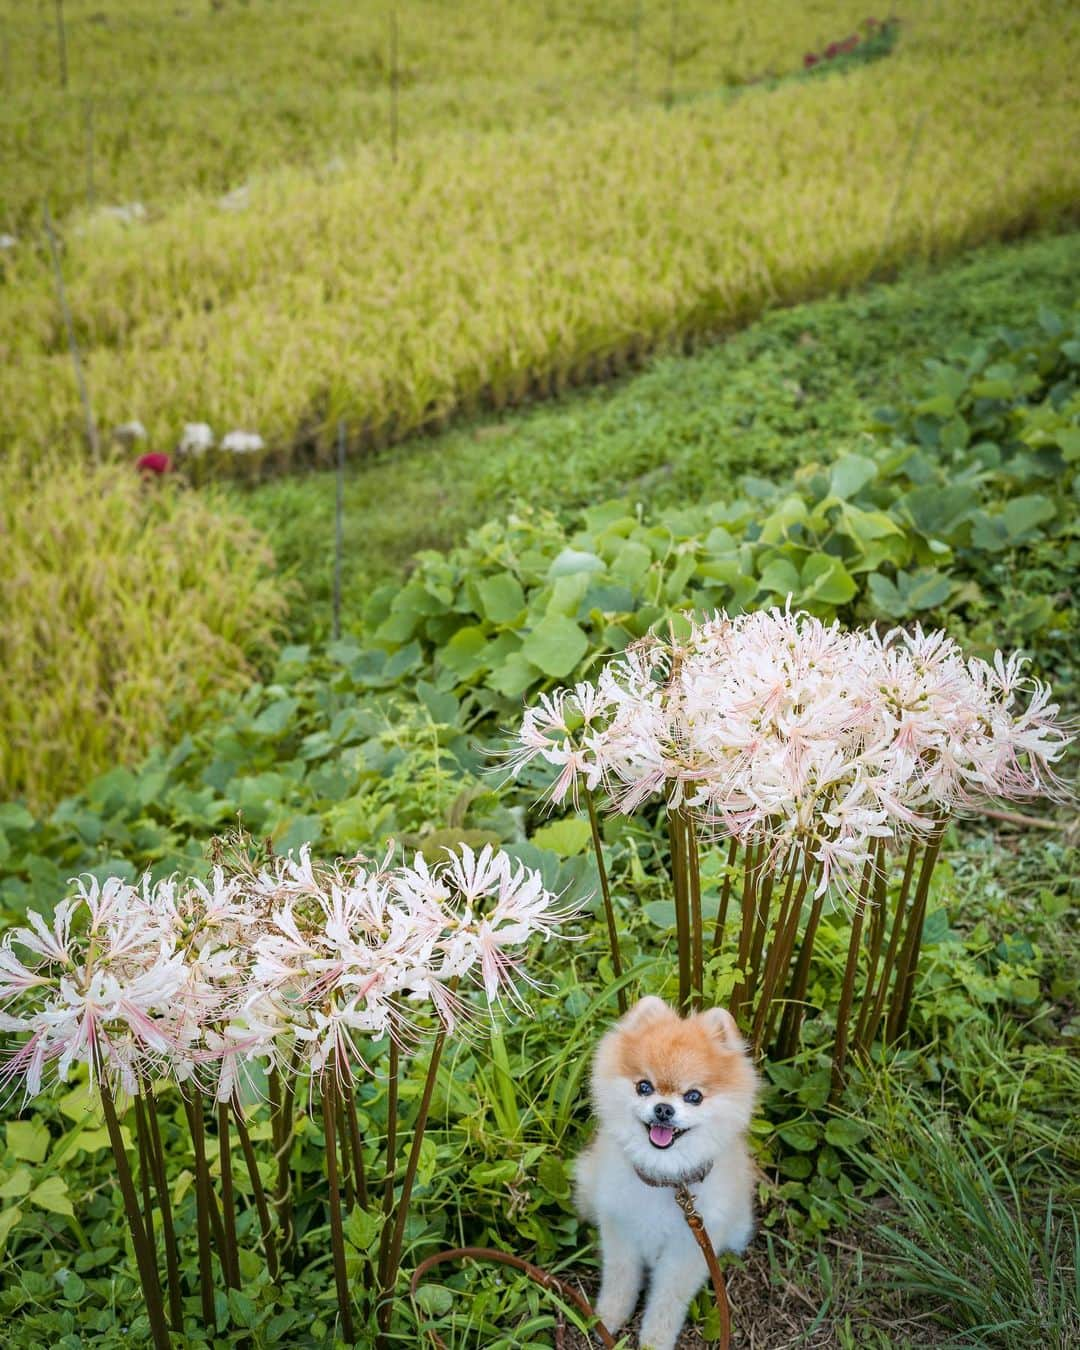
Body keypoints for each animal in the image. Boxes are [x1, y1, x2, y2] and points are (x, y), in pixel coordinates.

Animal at [572, 993, 761, 1350]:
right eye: (644, 1087)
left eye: (694, 1096)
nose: (663, 1109)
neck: (664, 1180)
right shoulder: (621, 1230)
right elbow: (620, 1279)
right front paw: (608, 1317)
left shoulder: (687, 1251)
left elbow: (667, 1300)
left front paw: (654, 1339)